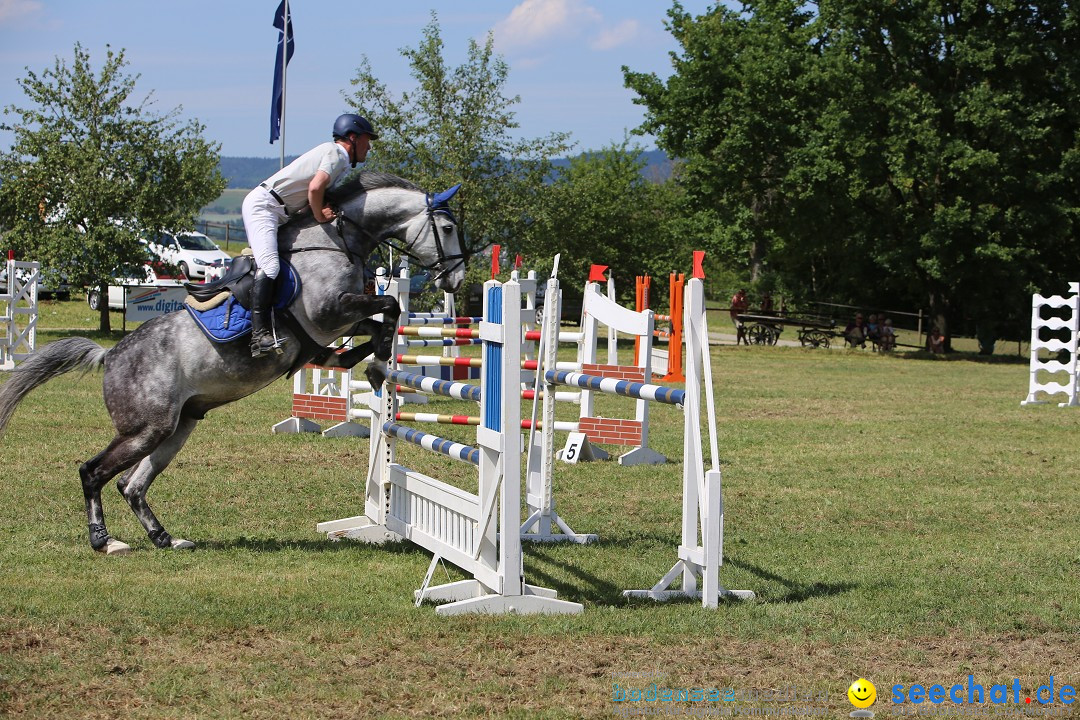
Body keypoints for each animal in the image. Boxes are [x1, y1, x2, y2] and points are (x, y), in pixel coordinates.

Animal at [0, 172, 462, 557]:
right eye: (448, 228)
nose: (455, 279)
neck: (337, 239)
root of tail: (110, 355)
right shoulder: (330, 311)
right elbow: (389, 306)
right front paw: (376, 364)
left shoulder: (336, 320)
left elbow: (379, 320)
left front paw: (368, 361)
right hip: (146, 428)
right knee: (92, 472)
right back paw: (105, 541)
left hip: (177, 427)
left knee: (131, 485)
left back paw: (165, 538)